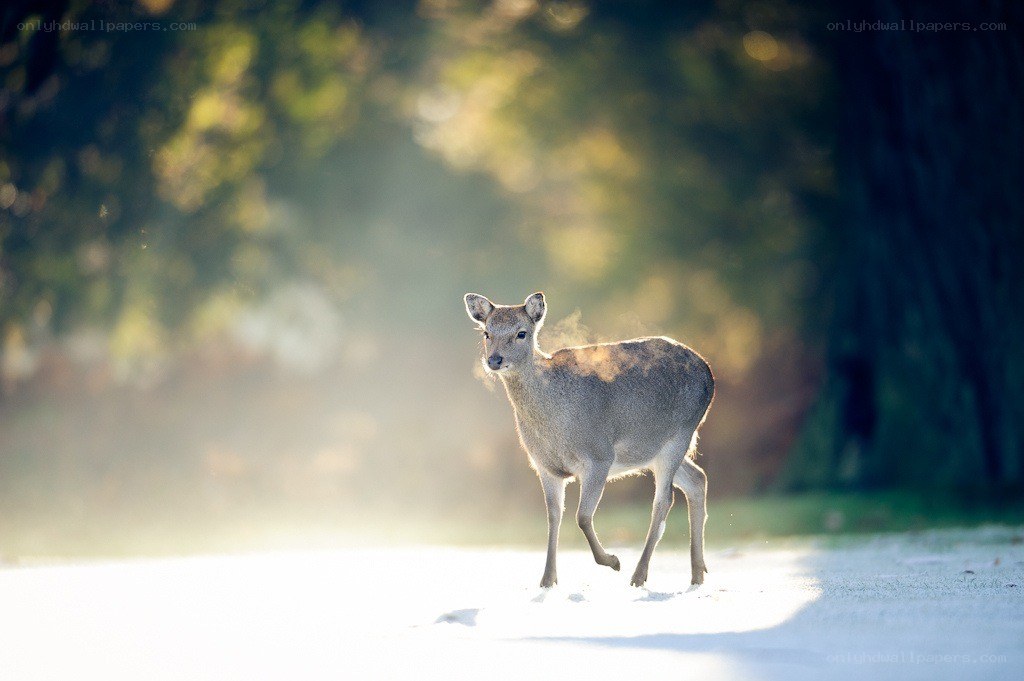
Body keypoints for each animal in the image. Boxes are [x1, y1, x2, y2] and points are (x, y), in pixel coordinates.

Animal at [464, 292, 715, 588]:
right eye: (487, 332)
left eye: (521, 333)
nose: (494, 360)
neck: (553, 427)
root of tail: (709, 374)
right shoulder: (544, 466)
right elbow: (553, 516)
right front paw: (547, 579)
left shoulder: (599, 455)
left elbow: (582, 516)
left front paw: (613, 561)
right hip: (655, 452)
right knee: (697, 478)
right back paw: (698, 573)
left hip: (680, 434)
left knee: (664, 501)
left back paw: (639, 575)